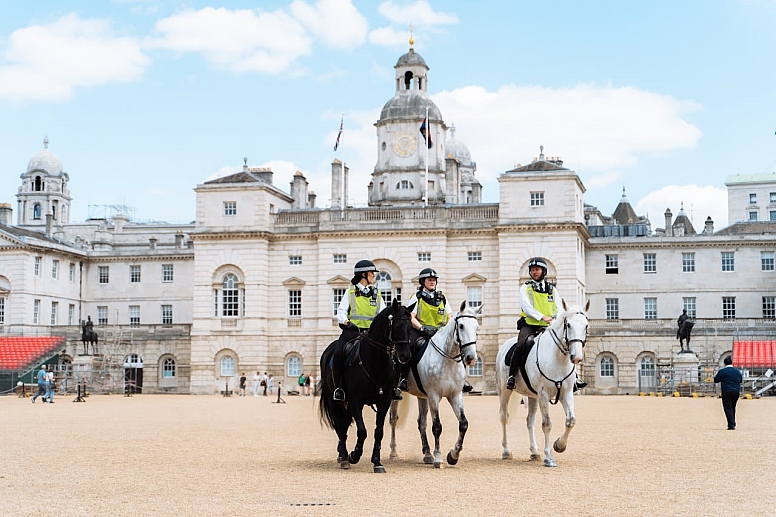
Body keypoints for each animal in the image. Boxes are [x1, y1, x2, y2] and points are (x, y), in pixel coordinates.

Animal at [316, 298, 412, 472]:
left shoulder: (384, 401)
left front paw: (377, 462)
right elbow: (362, 431)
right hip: (335, 400)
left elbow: (378, 432)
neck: (375, 362)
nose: (405, 355)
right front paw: (354, 455)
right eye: (397, 325)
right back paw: (344, 456)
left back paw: (342, 454)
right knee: (339, 425)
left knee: (344, 425)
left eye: (410, 326)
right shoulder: (356, 401)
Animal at [388, 298, 478, 468]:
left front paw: (453, 455)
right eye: (461, 326)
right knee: (393, 419)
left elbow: (463, 424)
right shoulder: (434, 396)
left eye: (477, 327)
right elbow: (437, 427)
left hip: (422, 396)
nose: (471, 358)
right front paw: (438, 457)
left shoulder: (455, 395)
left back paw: (427, 453)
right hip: (397, 394)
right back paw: (394, 453)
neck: (447, 360)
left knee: (421, 422)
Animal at [498, 298, 588, 468]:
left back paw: (534, 452)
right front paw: (549, 457)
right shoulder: (544, 394)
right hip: (505, 391)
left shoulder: (565, 393)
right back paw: (506, 451)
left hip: (532, 396)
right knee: (504, 417)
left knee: (530, 421)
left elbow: (571, 420)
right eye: (568, 325)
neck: (558, 359)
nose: (577, 357)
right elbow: (547, 424)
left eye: (586, 325)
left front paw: (559, 445)